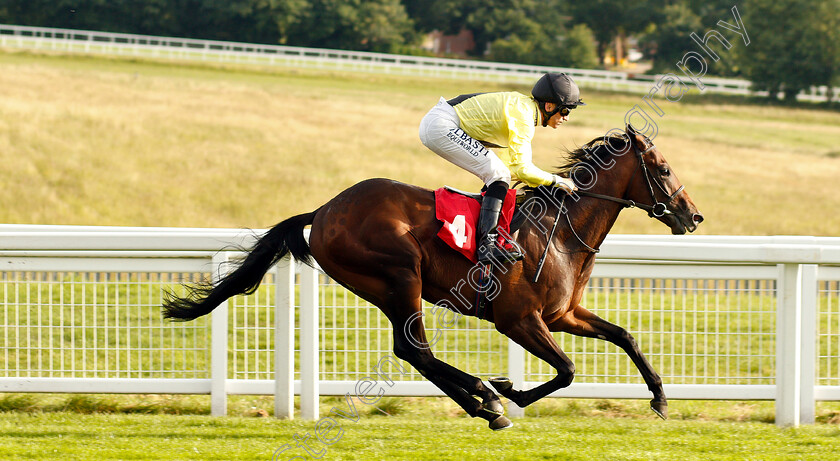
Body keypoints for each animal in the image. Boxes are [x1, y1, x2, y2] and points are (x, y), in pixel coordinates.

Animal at [162, 124, 704, 430]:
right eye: (663, 167)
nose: (693, 216)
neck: (559, 232)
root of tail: (325, 209)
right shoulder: (518, 319)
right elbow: (567, 369)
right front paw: (511, 390)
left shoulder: (563, 314)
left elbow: (625, 336)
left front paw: (659, 399)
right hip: (402, 274)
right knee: (416, 350)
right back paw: (486, 399)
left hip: (388, 287)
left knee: (412, 351)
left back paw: (481, 402)